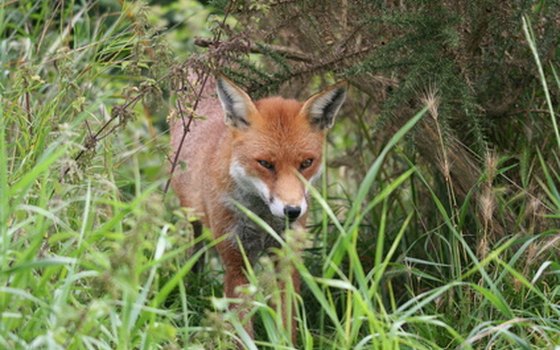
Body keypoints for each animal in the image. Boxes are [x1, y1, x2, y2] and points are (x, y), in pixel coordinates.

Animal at [170, 74, 346, 342]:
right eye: (265, 164)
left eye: (307, 163)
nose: (292, 211)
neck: (263, 219)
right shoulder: (236, 262)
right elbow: (242, 331)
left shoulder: (286, 257)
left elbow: (287, 322)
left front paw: (286, 344)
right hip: (193, 218)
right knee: (196, 250)